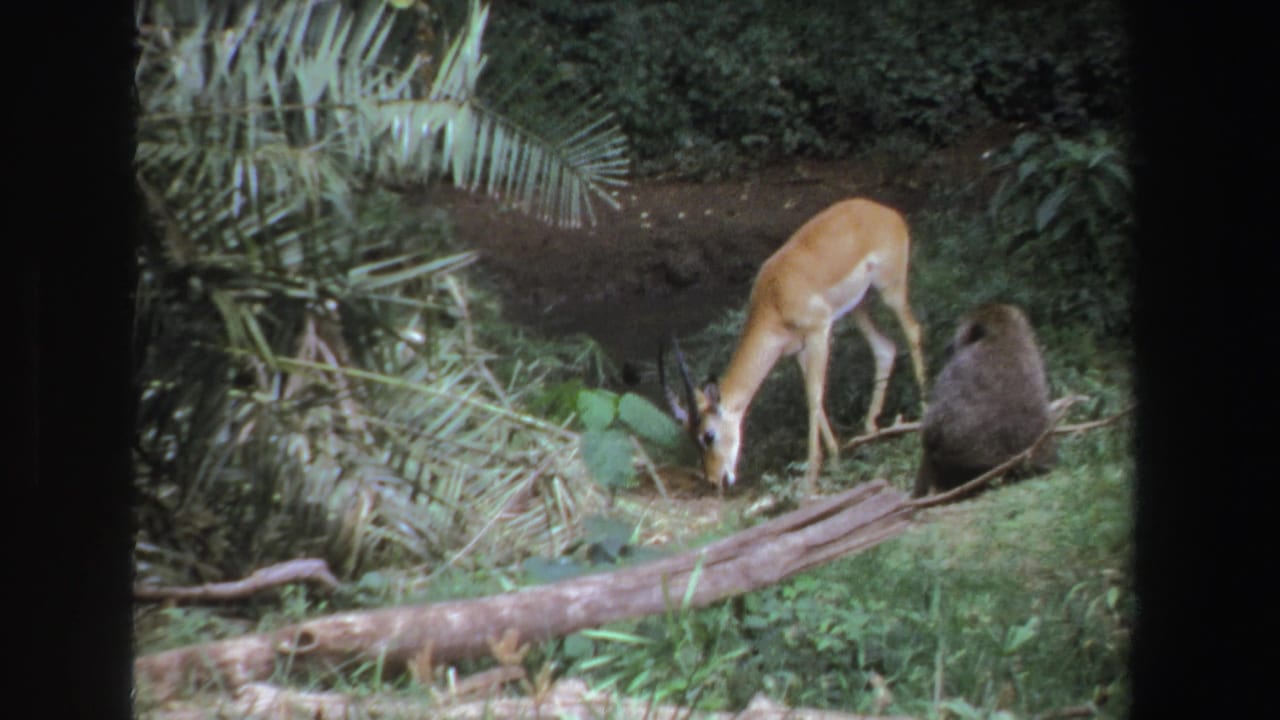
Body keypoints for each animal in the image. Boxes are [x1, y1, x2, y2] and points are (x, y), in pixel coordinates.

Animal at [659, 198, 927, 495]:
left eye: (709, 435)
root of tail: (884, 211)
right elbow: (811, 394)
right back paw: (870, 429)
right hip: (859, 306)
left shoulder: (819, 332)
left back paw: (924, 411)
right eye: (691, 436)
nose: (715, 479)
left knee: (913, 331)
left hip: (890, 289)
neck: (775, 297)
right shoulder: (797, 350)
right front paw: (836, 458)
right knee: (885, 348)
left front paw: (811, 477)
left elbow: (814, 396)